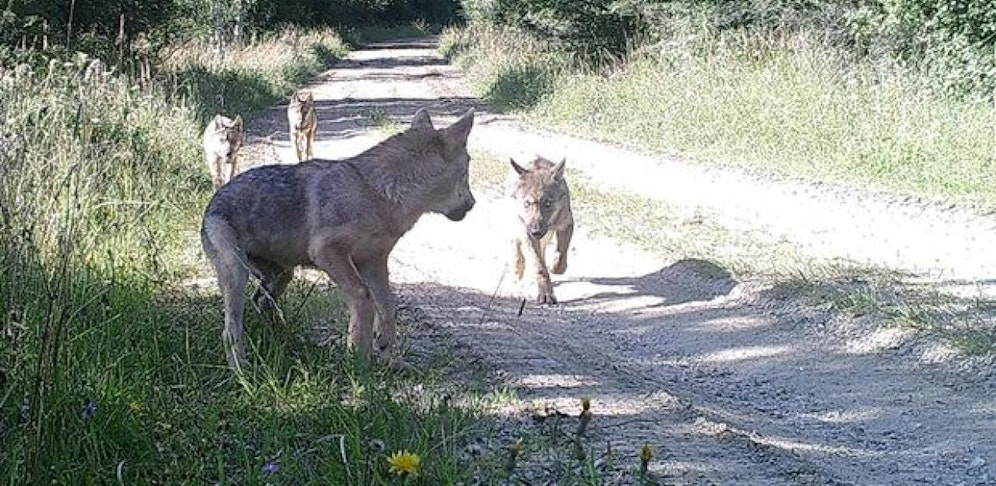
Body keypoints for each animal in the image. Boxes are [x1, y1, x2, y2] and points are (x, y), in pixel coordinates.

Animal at [201, 108, 476, 371]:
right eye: (467, 169)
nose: (473, 204)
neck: (377, 193)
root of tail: (211, 203)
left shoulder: (374, 262)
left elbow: (387, 308)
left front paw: (391, 361)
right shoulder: (328, 252)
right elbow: (364, 299)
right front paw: (360, 364)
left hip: (281, 276)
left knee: (260, 302)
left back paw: (281, 339)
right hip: (237, 275)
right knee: (230, 330)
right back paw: (242, 370)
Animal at [509, 156, 574, 305]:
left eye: (547, 203)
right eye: (527, 203)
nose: (535, 231)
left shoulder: (567, 224)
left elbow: (560, 257)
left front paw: (554, 268)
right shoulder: (527, 232)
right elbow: (539, 266)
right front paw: (545, 294)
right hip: (518, 225)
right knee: (516, 244)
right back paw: (517, 268)